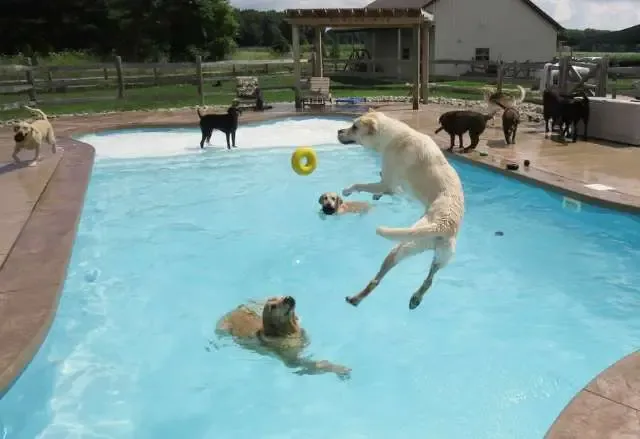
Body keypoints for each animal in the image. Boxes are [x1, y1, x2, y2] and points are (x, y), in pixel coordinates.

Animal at [215, 298, 350, 380]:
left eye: (281, 296)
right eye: (273, 307)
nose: (288, 298)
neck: (289, 332)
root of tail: (235, 309)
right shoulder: (292, 360)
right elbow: (315, 364)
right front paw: (338, 368)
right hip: (222, 327)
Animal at [338, 109, 462, 310]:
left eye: (355, 127)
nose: (339, 131)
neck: (392, 136)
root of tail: (444, 225)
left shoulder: (387, 181)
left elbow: (362, 185)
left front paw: (348, 190)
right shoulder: (394, 186)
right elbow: (388, 190)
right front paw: (377, 196)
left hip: (401, 246)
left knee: (377, 280)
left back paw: (356, 298)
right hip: (440, 256)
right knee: (430, 278)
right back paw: (416, 297)